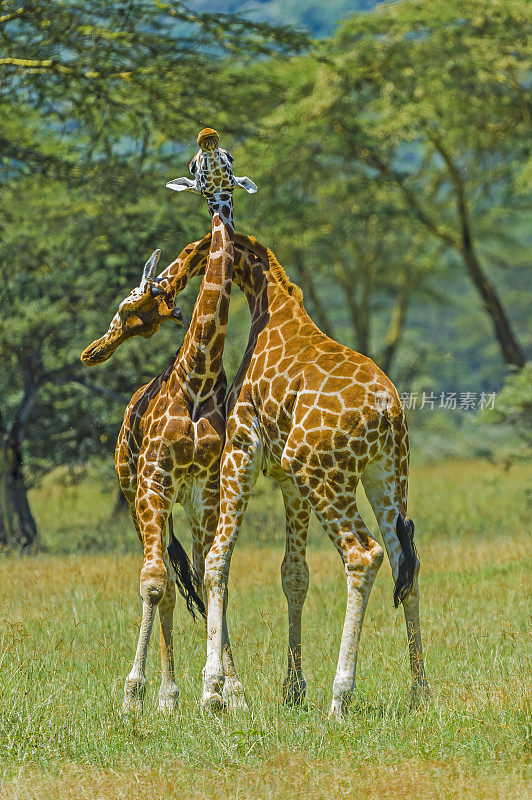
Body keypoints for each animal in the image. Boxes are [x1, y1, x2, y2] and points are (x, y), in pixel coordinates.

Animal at [80, 130, 258, 712]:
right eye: (197, 164)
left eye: (225, 160)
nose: (208, 136)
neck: (196, 379)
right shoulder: (155, 478)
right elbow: (156, 583)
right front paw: (135, 693)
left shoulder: (205, 485)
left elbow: (207, 574)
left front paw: (230, 691)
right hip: (133, 490)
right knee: (157, 579)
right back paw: (163, 694)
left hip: (180, 501)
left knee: (189, 576)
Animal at [87, 233, 428, 720]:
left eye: (127, 305)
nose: (96, 349)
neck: (270, 304)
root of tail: (388, 413)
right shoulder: (284, 477)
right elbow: (293, 574)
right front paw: (290, 690)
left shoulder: (242, 449)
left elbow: (216, 563)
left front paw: (214, 689)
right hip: (387, 474)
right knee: (405, 560)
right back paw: (420, 693)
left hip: (322, 473)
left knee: (363, 555)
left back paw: (339, 697)